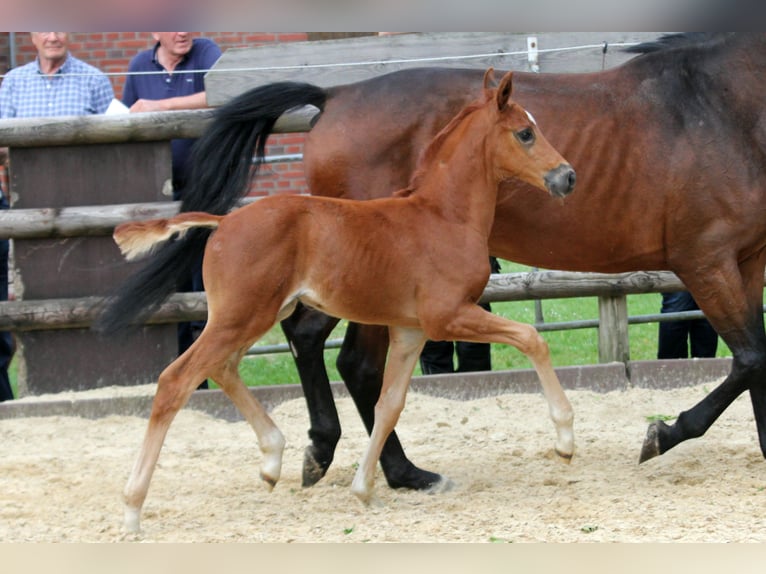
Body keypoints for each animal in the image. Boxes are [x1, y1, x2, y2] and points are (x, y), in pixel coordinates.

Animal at [106, 73, 576, 536]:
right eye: (525, 132)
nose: (567, 176)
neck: (443, 216)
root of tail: (224, 221)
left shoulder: (411, 330)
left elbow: (390, 404)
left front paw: (364, 489)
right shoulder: (448, 317)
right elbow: (532, 339)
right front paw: (565, 440)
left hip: (255, 315)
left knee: (222, 368)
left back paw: (273, 460)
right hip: (242, 316)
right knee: (176, 380)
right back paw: (131, 511)